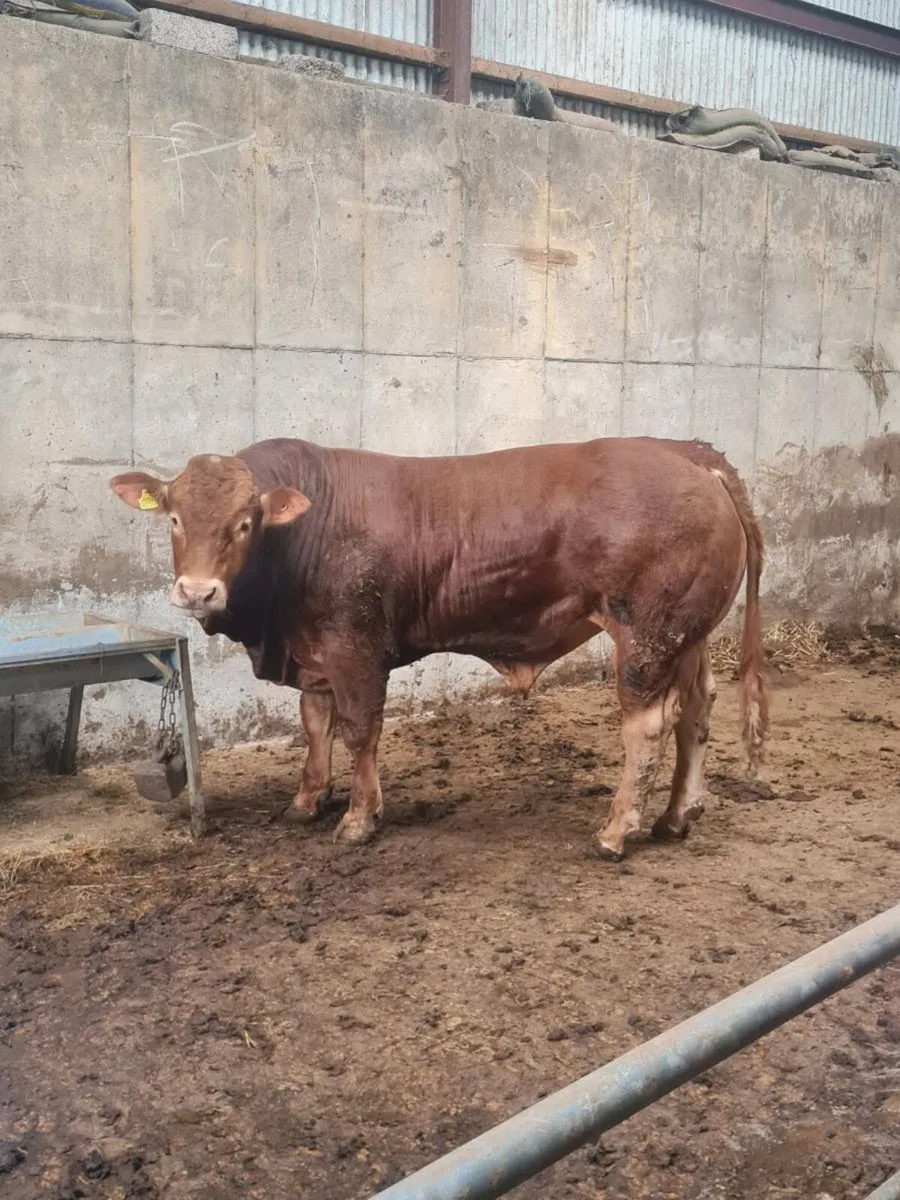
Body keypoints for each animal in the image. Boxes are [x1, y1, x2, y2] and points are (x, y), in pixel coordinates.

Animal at [109, 436, 767, 861]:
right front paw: (306, 800)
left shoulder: (355, 647)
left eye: (244, 523)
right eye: (173, 517)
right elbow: (315, 724)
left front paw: (359, 818)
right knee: (699, 709)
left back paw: (615, 832)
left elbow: (359, 730)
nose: (197, 590)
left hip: (647, 635)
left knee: (647, 724)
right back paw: (677, 816)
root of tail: (688, 453)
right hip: (688, 634)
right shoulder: (314, 655)